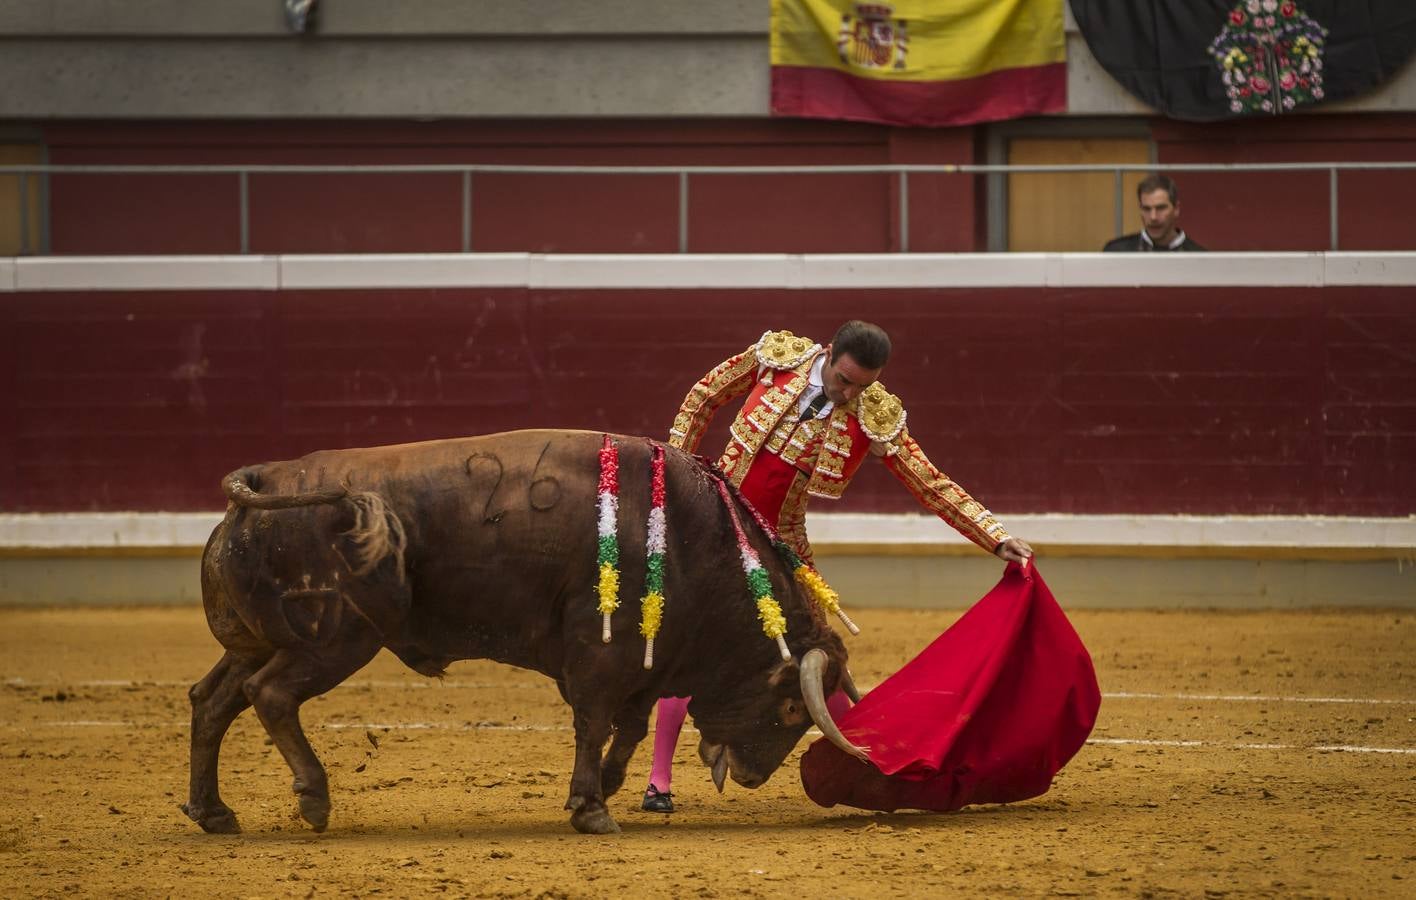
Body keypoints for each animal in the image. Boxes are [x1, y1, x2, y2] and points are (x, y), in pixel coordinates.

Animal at [181, 430, 855, 837]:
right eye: (791, 707)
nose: (752, 776)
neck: (692, 543)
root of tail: (263, 481)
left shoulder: (643, 662)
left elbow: (630, 727)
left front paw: (606, 787)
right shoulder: (600, 654)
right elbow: (595, 723)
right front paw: (591, 809)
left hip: (260, 641)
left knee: (212, 700)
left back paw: (213, 812)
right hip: (335, 640)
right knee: (270, 695)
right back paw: (314, 799)